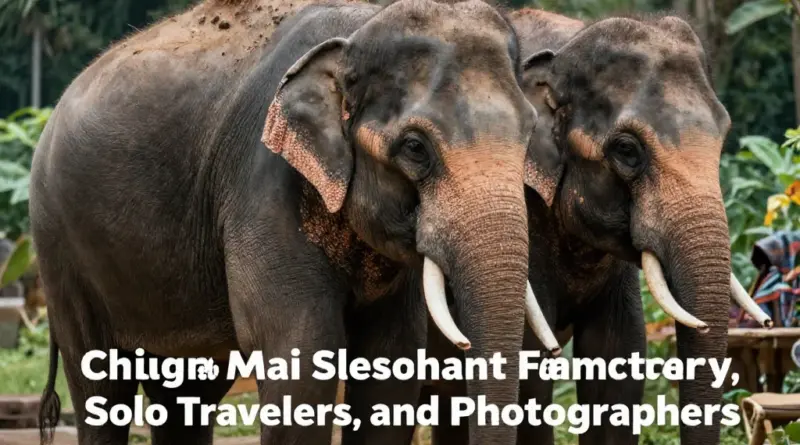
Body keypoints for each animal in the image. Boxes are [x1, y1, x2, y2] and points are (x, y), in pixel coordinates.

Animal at [28, 0, 568, 444]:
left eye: (529, 136)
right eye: (415, 148)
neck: (359, 30)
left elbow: (392, 364)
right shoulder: (262, 186)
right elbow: (303, 353)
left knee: (184, 395)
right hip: (58, 246)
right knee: (99, 381)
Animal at [422, 7, 772, 445]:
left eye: (724, 137)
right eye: (627, 150)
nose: (767, 321)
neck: (565, 45)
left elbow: (619, 359)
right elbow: (531, 370)